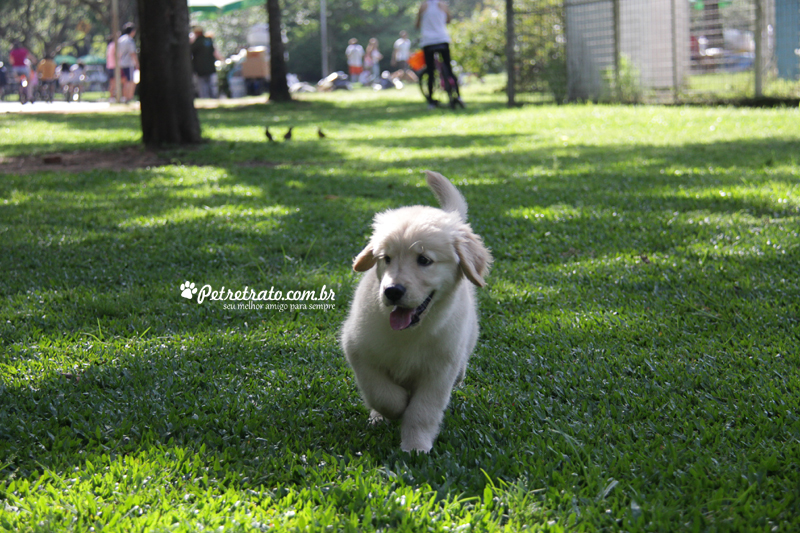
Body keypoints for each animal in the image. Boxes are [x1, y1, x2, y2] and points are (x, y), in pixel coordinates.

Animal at [340, 170, 490, 454]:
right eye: (386, 258)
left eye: (424, 260)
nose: (392, 291)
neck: (410, 333)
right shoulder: (359, 350)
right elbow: (382, 394)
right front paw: (393, 409)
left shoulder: (440, 370)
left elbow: (423, 411)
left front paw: (416, 447)